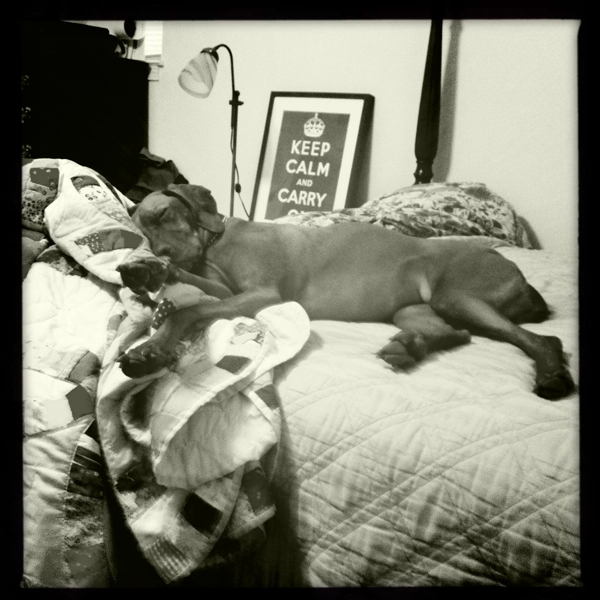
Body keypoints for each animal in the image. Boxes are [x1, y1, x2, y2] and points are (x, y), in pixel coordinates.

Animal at [117, 184, 575, 400]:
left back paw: (553, 375)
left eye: (165, 213)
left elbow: (186, 311)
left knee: (543, 340)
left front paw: (151, 347)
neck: (216, 242)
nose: (159, 252)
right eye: (143, 232)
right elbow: (192, 287)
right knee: (454, 333)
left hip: (459, 296)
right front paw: (149, 272)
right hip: (414, 310)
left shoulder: (264, 294)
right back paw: (408, 348)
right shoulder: (222, 285)